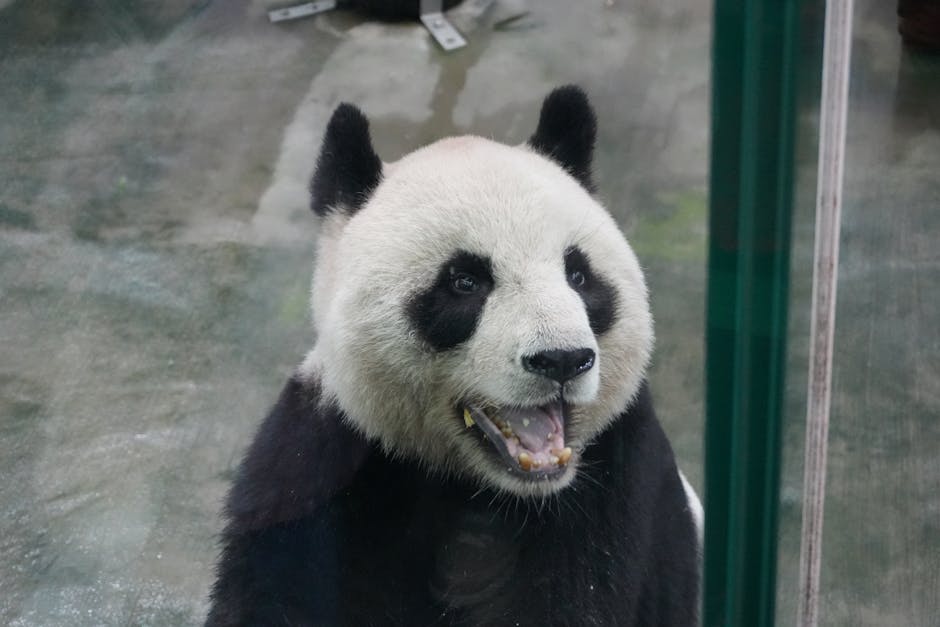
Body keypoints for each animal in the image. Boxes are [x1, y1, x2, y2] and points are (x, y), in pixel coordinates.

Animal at [206, 86, 702, 626]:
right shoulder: (321, 463)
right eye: (465, 282)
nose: (563, 359)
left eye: (578, 275)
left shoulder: (610, 484)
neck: (476, 482)